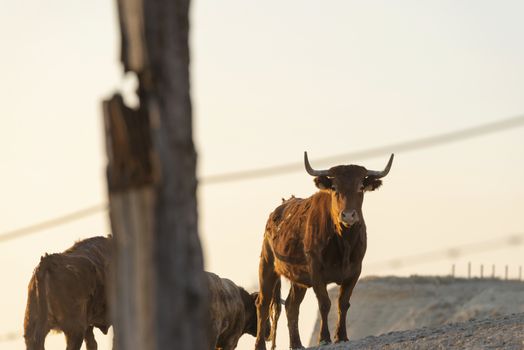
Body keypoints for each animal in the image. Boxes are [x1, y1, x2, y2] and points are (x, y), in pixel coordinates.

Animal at [254, 153, 392, 350]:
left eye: (360, 187)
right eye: (334, 187)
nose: (348, 215)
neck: (343, 242)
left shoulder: (355, 271)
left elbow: (343, 303)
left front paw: (342, 336)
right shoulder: (316, 271)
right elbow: (325, 304)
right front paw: (324, 337)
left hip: (298, 279)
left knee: (291, 306)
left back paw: (296, 344)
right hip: (267, 265)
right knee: (263, 303)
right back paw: (260, 345)